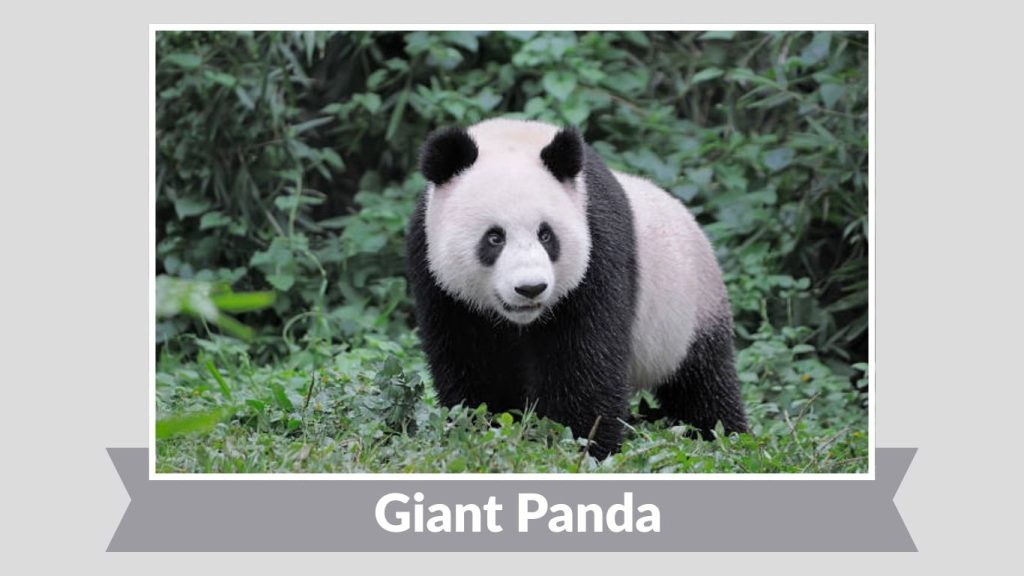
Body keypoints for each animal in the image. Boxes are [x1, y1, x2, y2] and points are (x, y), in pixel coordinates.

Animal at [406, 118, 748, 459]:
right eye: (494, 237)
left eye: (546, 235)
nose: (530, 288)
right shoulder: (437, 277)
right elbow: (472, 363)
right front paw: (482, 431)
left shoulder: (598, 248)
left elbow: (586, 361)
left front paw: (583, 445)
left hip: (691, 308)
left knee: (703, 383)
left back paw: (724, 436)